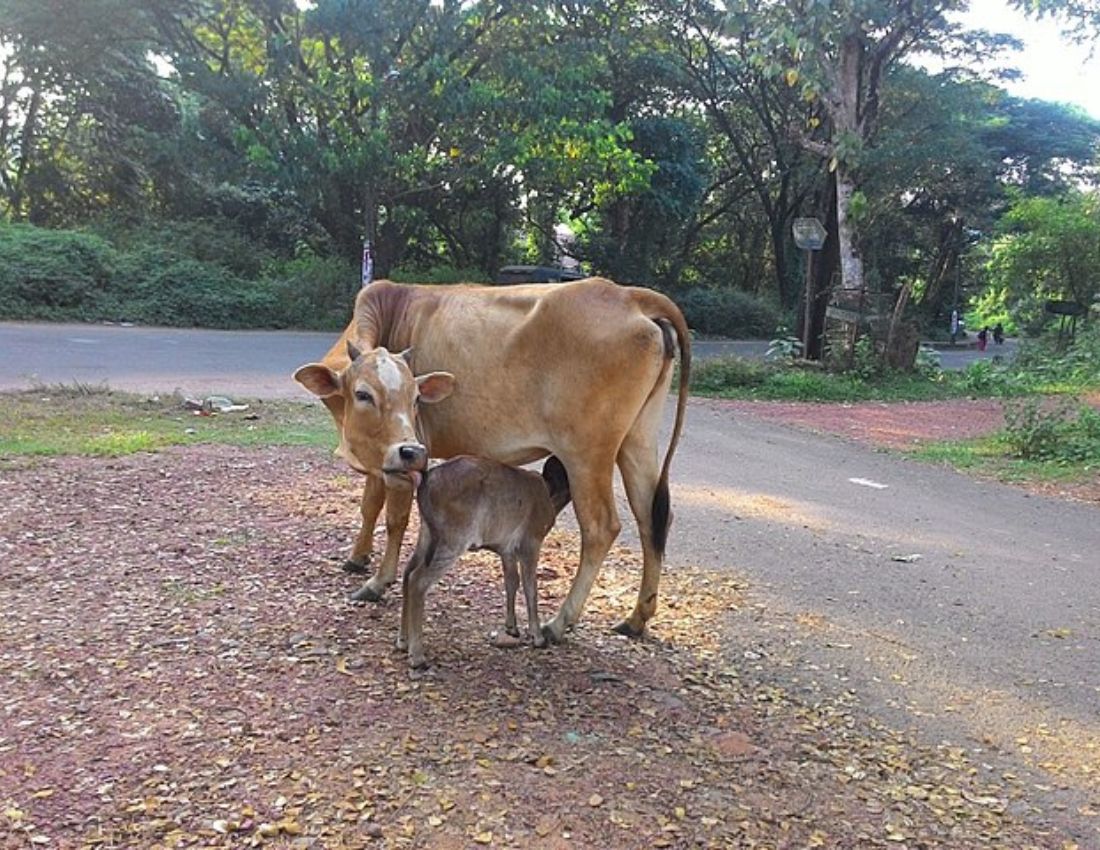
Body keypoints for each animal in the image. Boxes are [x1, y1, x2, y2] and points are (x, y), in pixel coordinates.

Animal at [293, 277, 691, 642]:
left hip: (587, 455)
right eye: (362, 394)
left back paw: (559, 622)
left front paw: (378, 582)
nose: (410, 450)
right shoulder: (382, 456)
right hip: (637, 441)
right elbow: (369, 505)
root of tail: (629, 294)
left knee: (601, 528)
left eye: (416, 397)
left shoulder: (405, 458)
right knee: (652, 519)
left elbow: (395, 518)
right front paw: (357, 557)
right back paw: (636, 619)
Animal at [396, 455, 572, 669]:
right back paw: (417, 656)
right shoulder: (531, 542)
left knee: (407, 572)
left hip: (428, 534)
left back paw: (403, 641)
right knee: (418, 580)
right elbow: (530, 588)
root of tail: (427, 479)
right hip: (453, 540)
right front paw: (537, 637)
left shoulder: (507, 550)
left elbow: (511, 582)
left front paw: (512, 627)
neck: (547, 490)